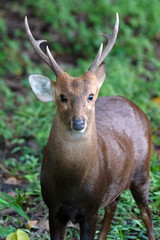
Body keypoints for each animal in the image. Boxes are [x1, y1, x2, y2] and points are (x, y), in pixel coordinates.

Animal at [25, 13, 155, 240]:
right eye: (63, 96)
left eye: (91, 95)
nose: (78, 122)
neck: (72, 185)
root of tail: (135, 105)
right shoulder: (53, 208)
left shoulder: (91, 207)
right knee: (113, 206)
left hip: (142, 169)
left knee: (145, 212)